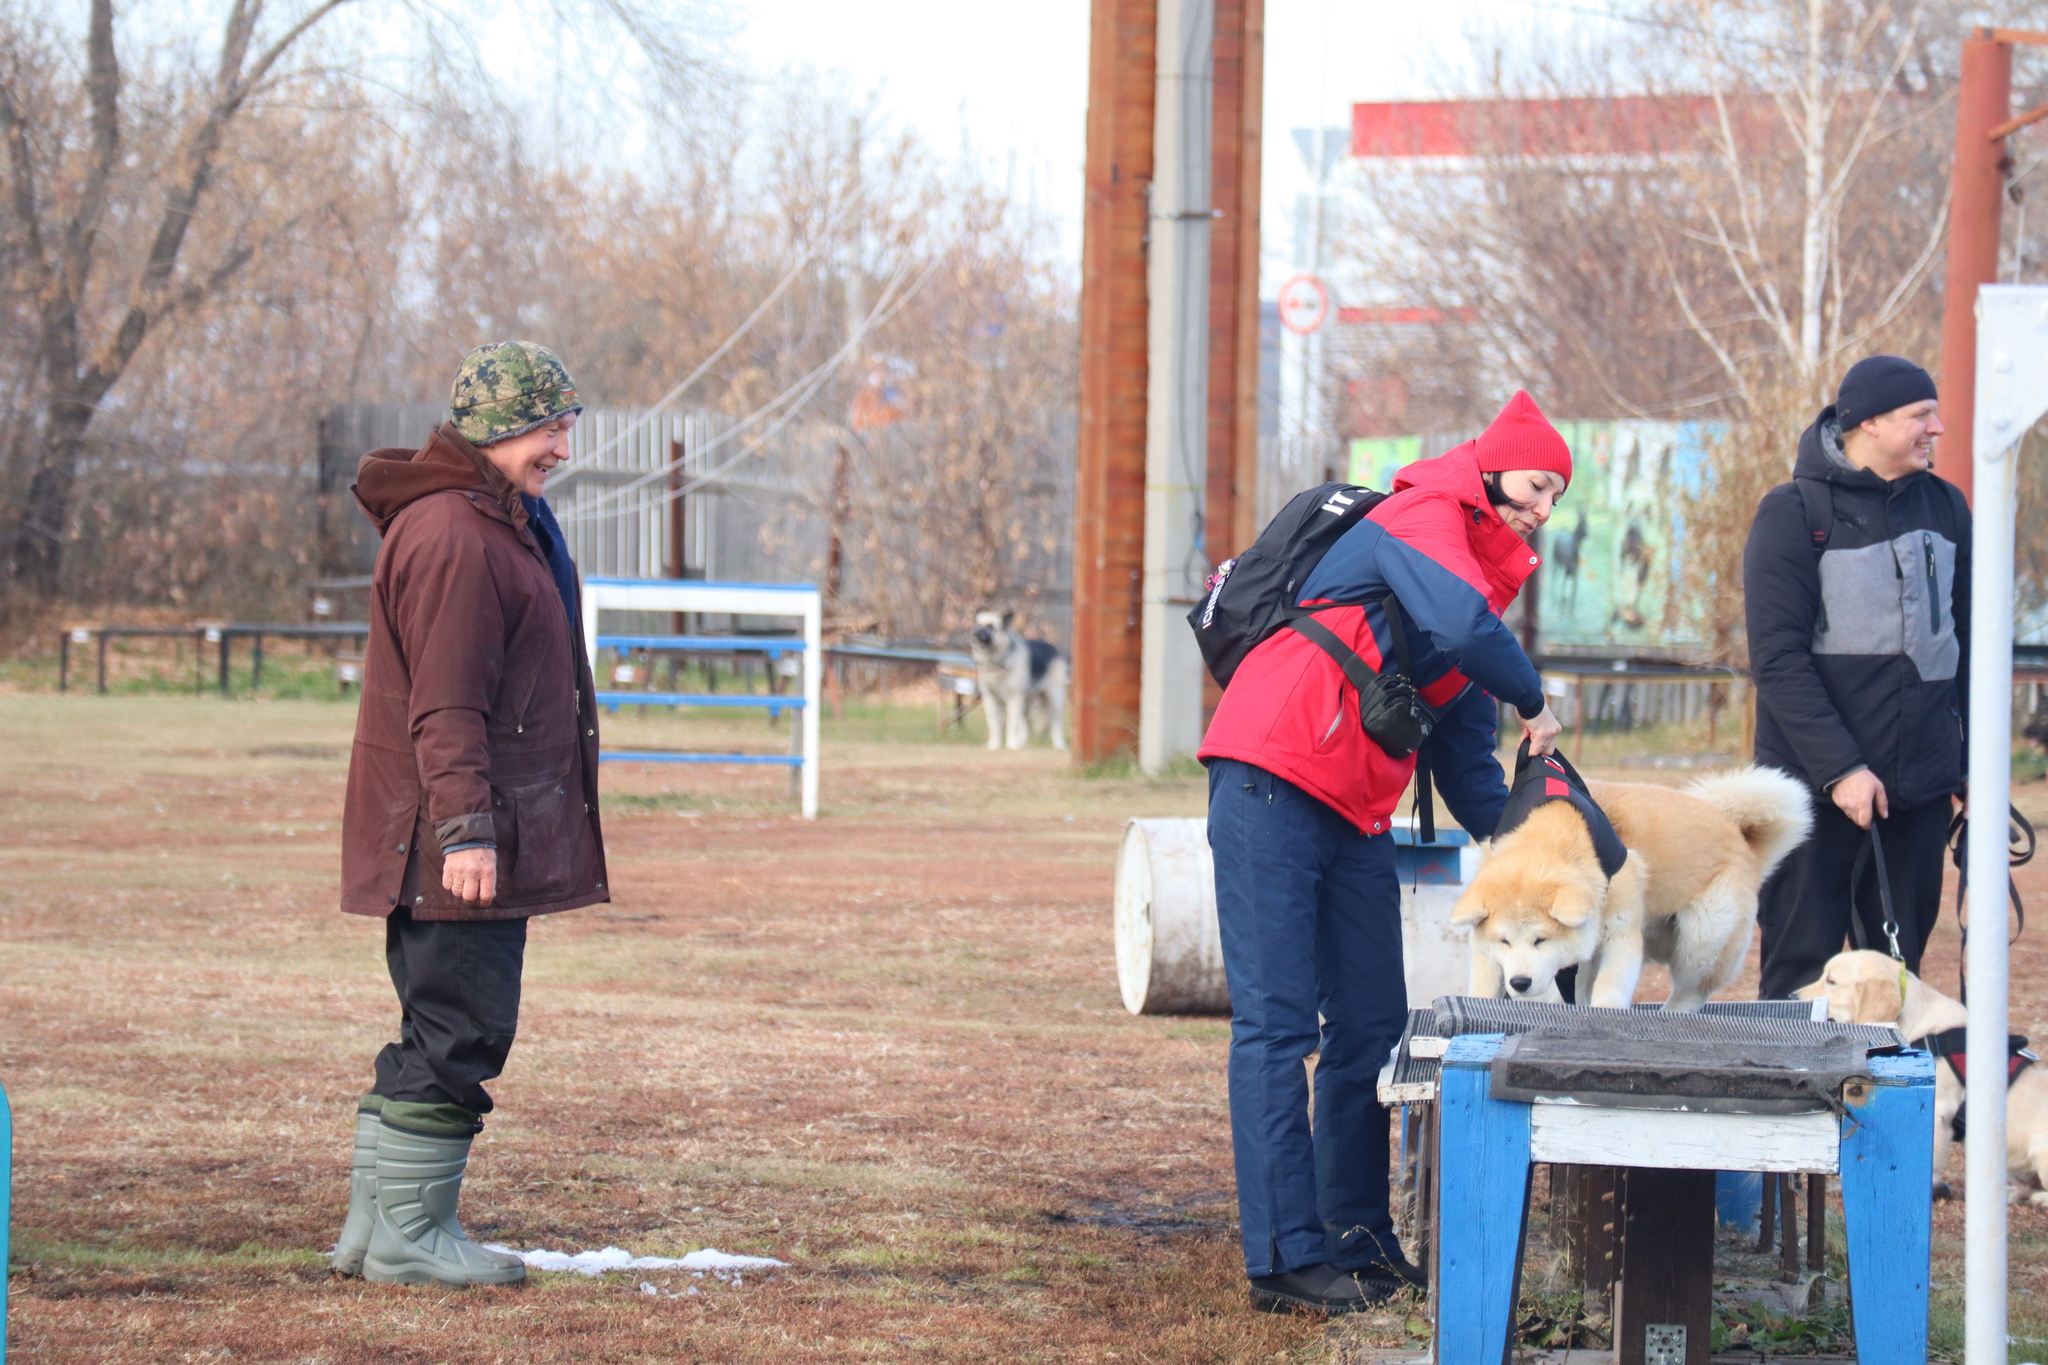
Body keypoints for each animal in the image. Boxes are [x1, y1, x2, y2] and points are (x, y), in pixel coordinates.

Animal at [970, 613, 1073, 753]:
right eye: (977, 623)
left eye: (990, 626)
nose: (974, 632)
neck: (997, 661)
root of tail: (1055, 649)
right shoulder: (990, 700)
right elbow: (994, 724)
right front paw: (994, 745)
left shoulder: (1014, 699)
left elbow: (1012, 724)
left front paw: (1011, 745)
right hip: (1026, 703)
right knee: (1025, 725)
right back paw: (1021, 743)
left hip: (1054, 698)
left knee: (1056, 723)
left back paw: (1059, 745)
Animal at [1458, 769, 1810, 1015]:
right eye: (1504, 941)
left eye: (1540, 940)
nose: (1519, 982)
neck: (1555, 826)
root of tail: (1738, 835)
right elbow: (1484, 986)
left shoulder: (1620, 932)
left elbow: (1610, 988)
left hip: (1703, 936)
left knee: (1691, 991)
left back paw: (1671, 1013)